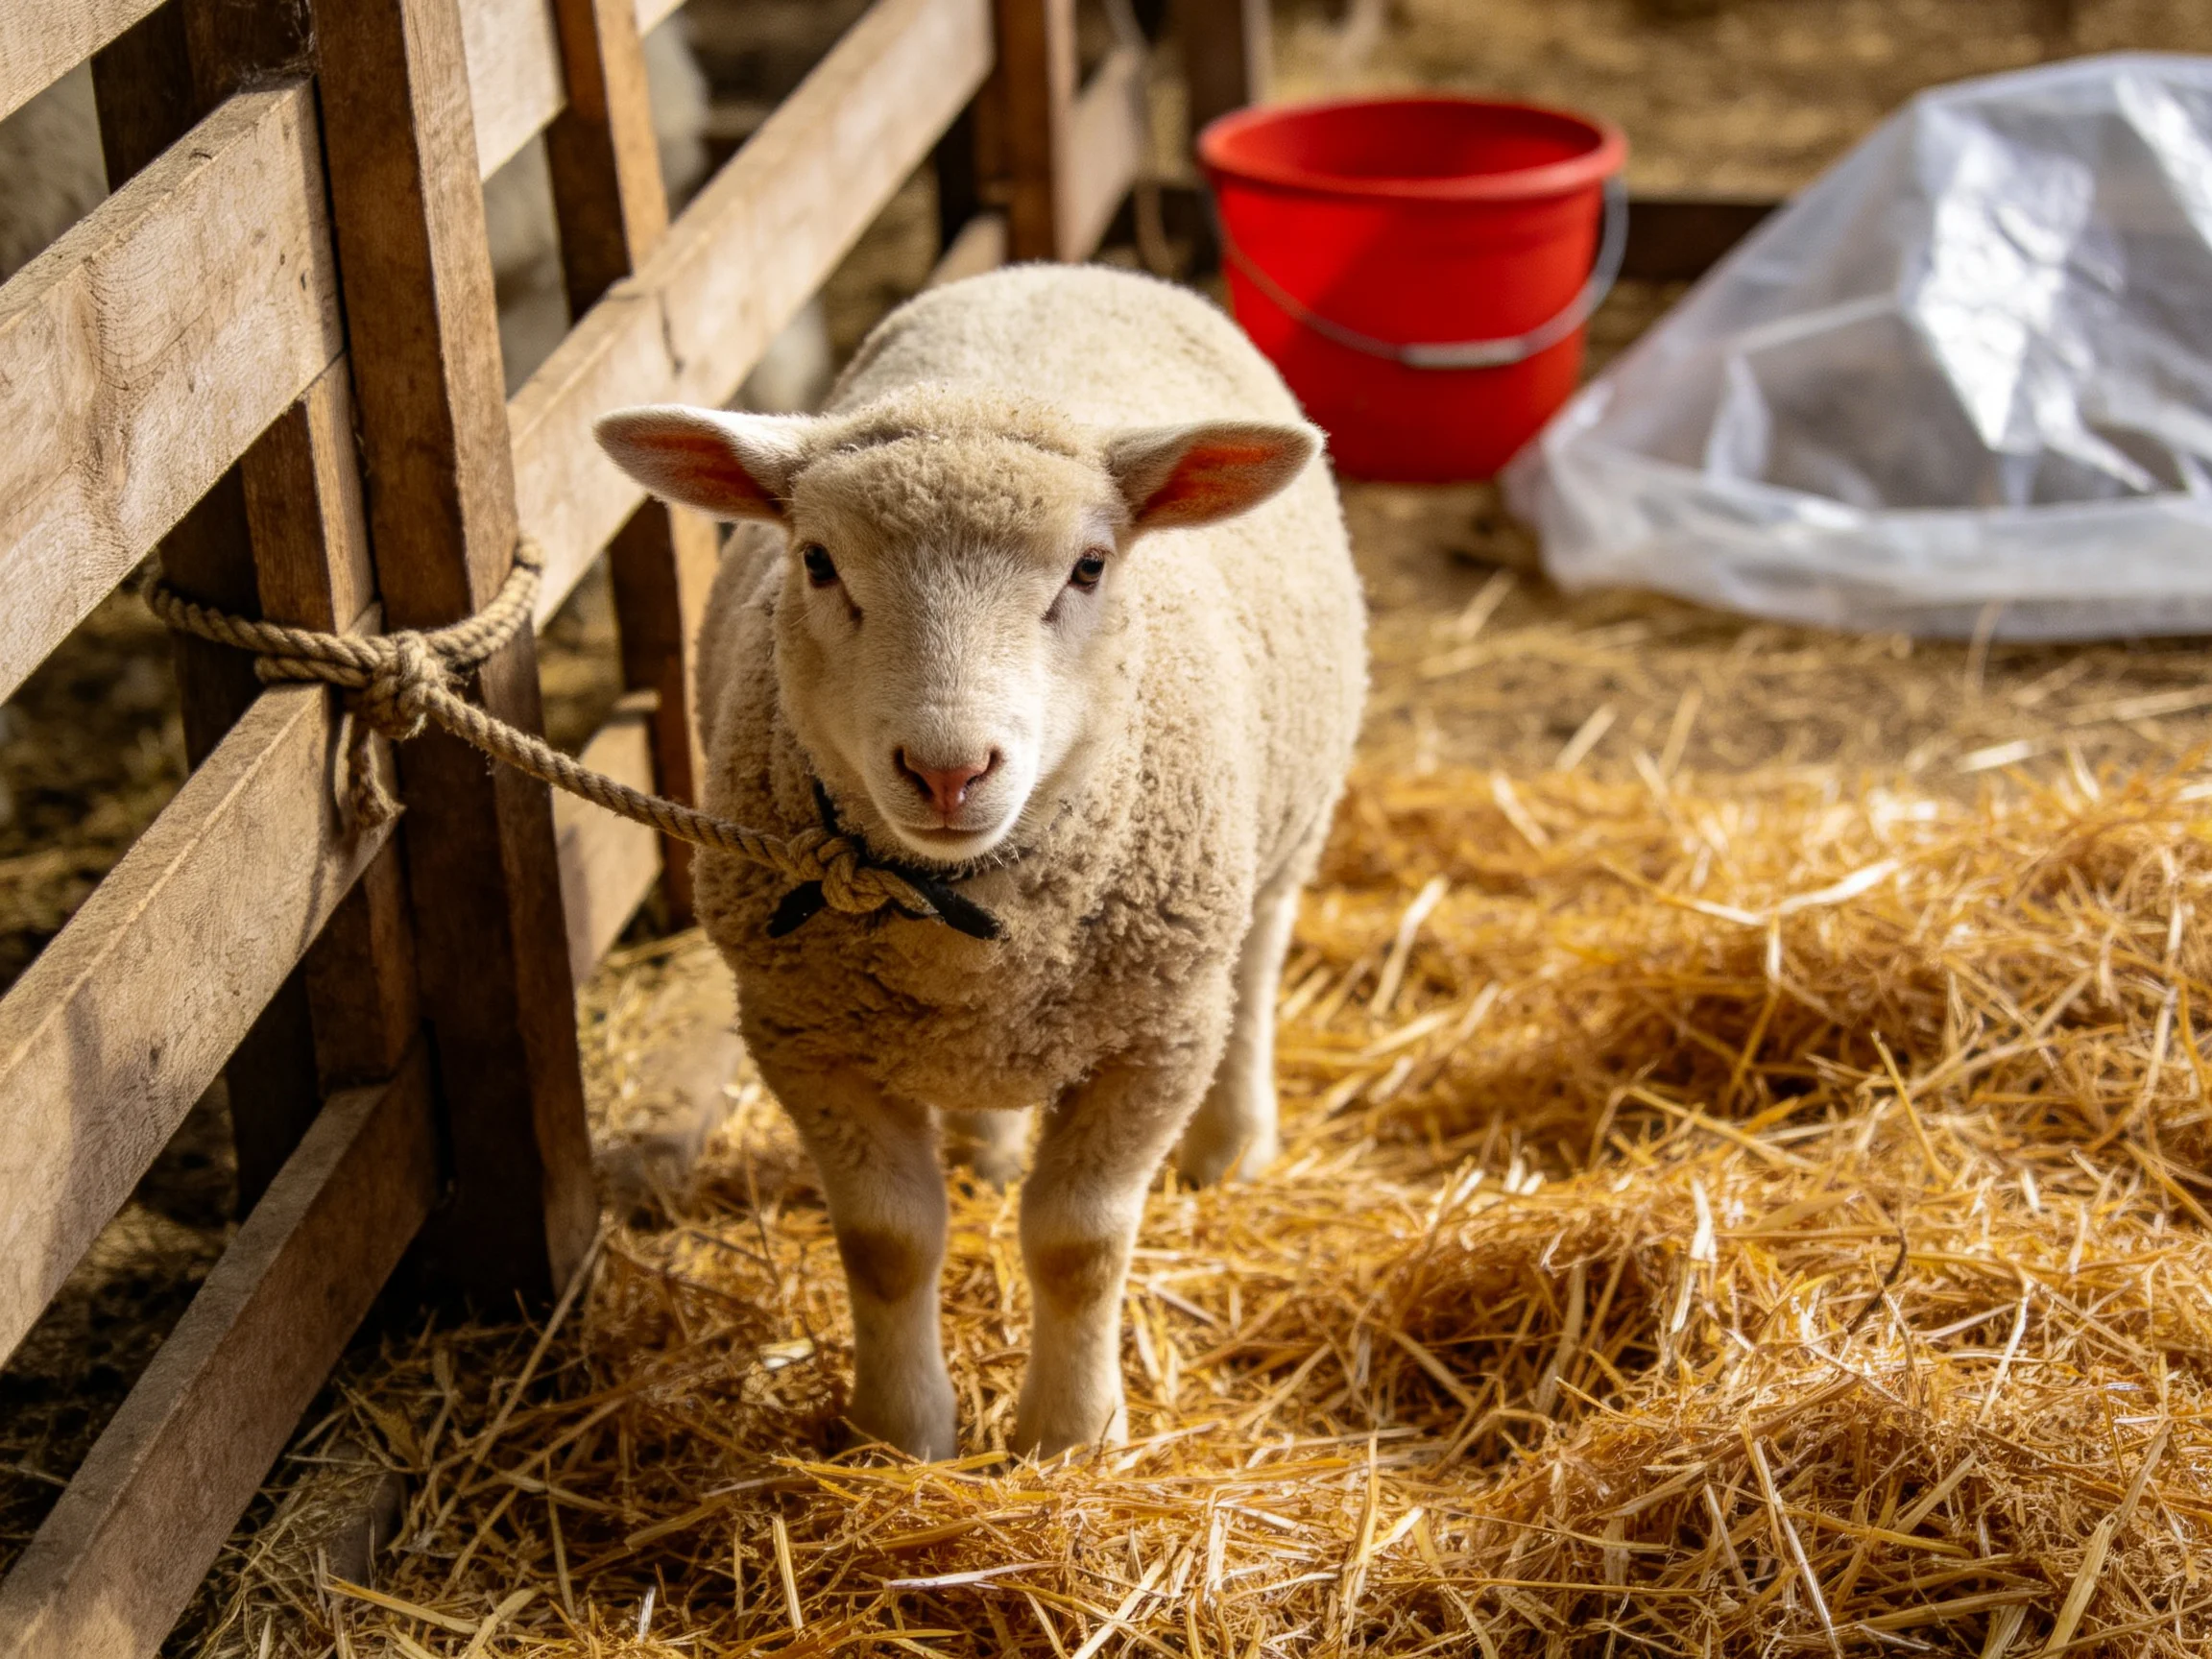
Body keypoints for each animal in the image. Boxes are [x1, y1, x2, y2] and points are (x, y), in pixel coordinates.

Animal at [595, 264, 1366, 1460]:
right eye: (818, 562)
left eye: (1089, 568)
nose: (949, 770)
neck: (963, 926)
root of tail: (1061, 269)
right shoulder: (803, 1037)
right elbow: (886, 1242)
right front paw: (900, 1434)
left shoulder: (1155, 1038)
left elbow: (1079, 1243)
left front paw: (1069, 1434)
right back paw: (989, 1149)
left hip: (1284, 836)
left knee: (1262, 963)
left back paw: (1235, 1143)